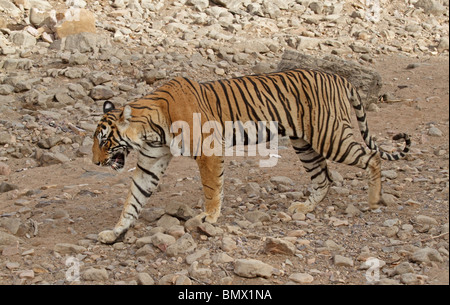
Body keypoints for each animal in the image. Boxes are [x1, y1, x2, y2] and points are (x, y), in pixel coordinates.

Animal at [92, 67, 412, 243]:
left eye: (105, 141)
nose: (95, 162)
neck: (150, 129)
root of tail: (339, 78)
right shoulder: (151, 162)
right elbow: (133, 200)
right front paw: (115, 232)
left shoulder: (208, 151)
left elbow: (211, 188)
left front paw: (209, 218)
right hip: (304, 143)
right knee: (323, 178)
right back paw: (304, 207)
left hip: (330, 135)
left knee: (371, 158)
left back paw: (373, 201)